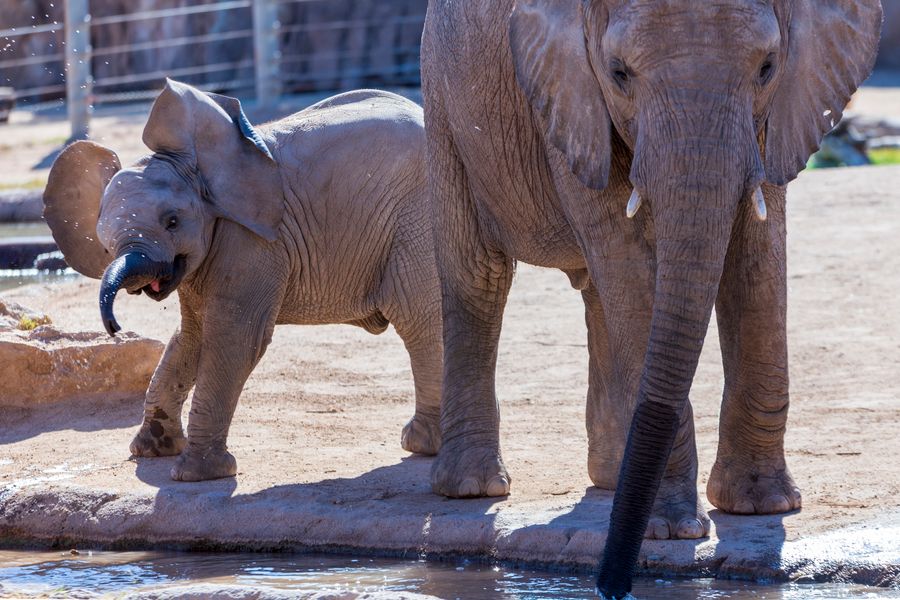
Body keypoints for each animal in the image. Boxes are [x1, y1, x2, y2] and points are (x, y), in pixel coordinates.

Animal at [44, 81, 444, 482]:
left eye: (172, 222)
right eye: (105, 246)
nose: (114, 327)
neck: (197, 168)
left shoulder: (252, 241)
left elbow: (235, 337)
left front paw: (197, 474)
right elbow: (189, 339)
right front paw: (152, 450)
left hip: (418, 219)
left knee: (419, 321)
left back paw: (423, 445)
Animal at [420, 0, 880, 596]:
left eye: (767, 67)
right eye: (619, 73)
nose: (611, 583)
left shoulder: (778, 112)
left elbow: (755, 250)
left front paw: (763, 504)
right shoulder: (569, 95)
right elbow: (626, 253)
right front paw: (672, 529)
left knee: (596, 293)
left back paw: (611, 478)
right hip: (443, 98)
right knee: (479, 277)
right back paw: (473, 487)